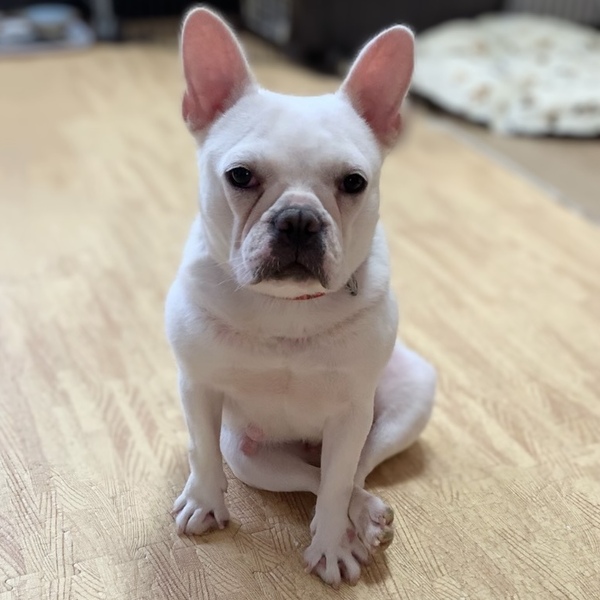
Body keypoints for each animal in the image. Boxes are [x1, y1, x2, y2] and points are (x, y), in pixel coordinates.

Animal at [166, 7, 436, 587]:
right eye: (240, 175)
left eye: (354, 182)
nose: (298, 219)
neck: (283, 306)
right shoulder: (197, 387)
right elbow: (201, 450)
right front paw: (203, 501)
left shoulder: (351, 410)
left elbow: (336, 485)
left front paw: (332, 545)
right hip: (248, 456)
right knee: (305, 475)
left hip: (407, 398)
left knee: (352, 471)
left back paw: (363, 516)